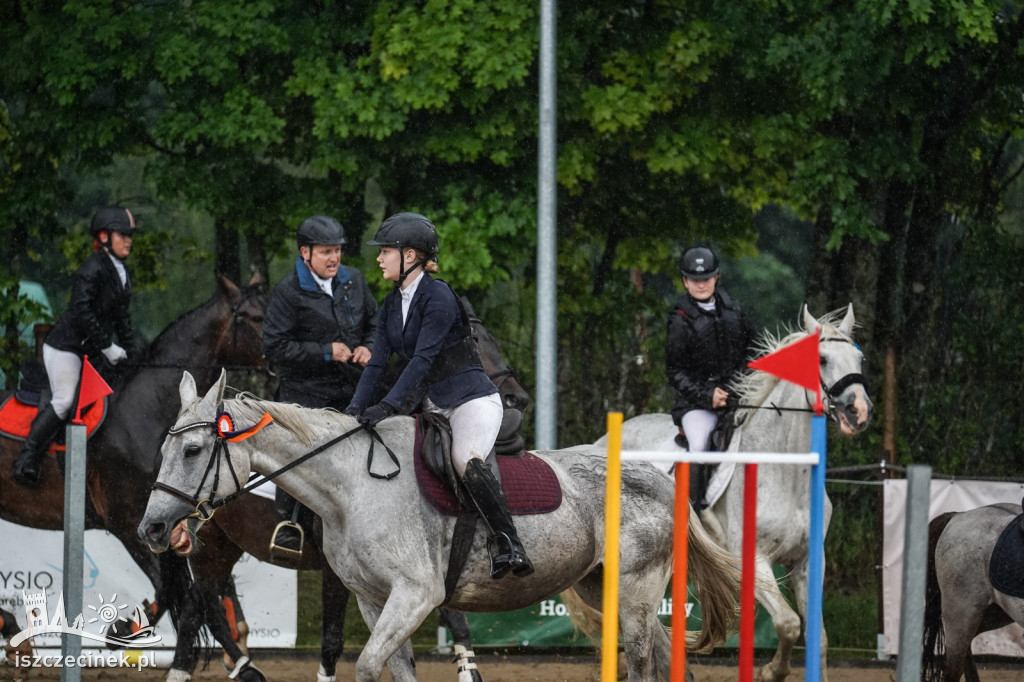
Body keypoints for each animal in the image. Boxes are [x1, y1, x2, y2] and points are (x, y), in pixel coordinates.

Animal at [136, 372, 745, 679]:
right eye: (164, 448)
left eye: (192, 450)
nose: (154, 528)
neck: (351, 488)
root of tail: (658, 477)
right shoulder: (375, 600)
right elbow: (395, 668)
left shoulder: (415, 594)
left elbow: (368, 666)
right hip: (603, 586)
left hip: (637, 590)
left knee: (643, 659)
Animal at [589, 303, 876, 679]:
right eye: (823, 359)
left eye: (859, 359)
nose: (859, 411)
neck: (786, 473)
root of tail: (603, 440)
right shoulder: (754, 560)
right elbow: (788, 624)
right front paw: (771, 671)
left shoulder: (807, 562)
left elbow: (819, 637)